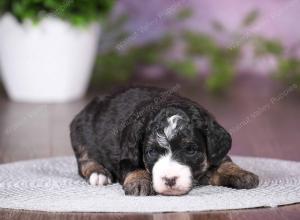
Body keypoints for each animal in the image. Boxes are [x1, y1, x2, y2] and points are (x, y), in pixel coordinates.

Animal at [69, 86, 258, 196]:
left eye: (190, 150)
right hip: (80, 133)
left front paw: (241, 173)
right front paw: (139, 181)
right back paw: (98, 174)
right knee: (85, 161)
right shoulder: (126, 153)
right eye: (151, 152)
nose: (170, 180)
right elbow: (133, 166)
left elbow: (224, 161)